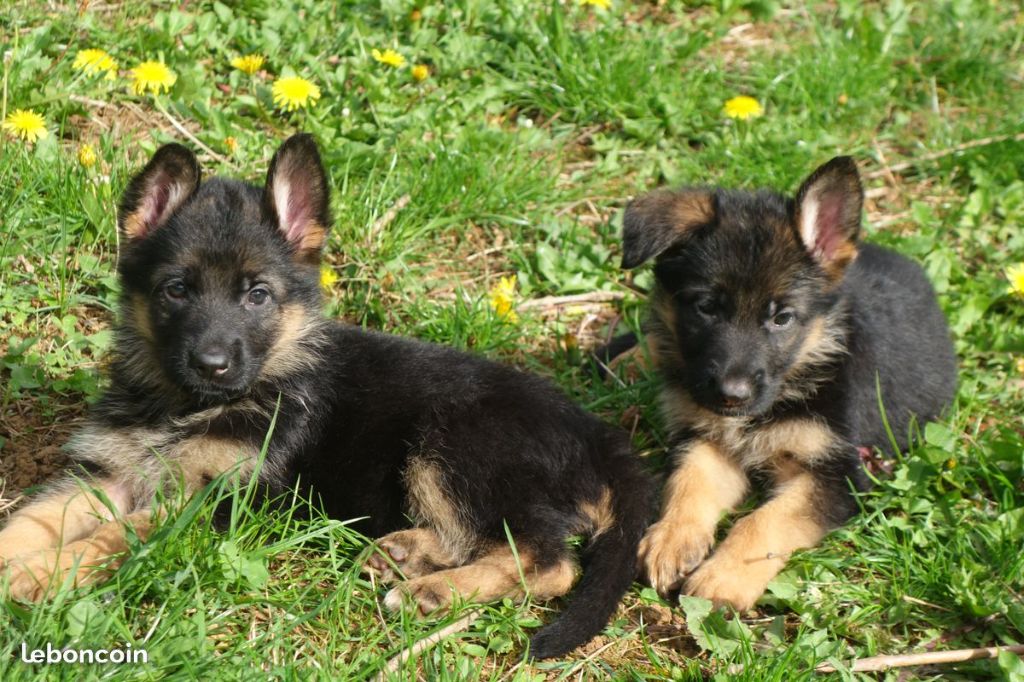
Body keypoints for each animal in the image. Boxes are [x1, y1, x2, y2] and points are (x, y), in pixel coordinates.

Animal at [0, 133, 647, 659]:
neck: (188, 406)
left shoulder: (209, 498)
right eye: (176, 290)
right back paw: (404, 554)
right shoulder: (108, 474)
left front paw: (38, 576)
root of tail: (599, 434)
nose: (212, 365)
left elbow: (114, 535)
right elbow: (34, 519)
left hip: (457, 445)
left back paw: (435, 591)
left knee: (550, 563)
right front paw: (18, 556)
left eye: (257, 295)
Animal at [618, 156, 954, 606]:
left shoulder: (837, 475)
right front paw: (671, 538)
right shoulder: (705, 438)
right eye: (706, 307)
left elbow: (766, 520)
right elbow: (689, 482)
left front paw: (722, 578)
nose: (731, 396)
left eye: (782, 318)